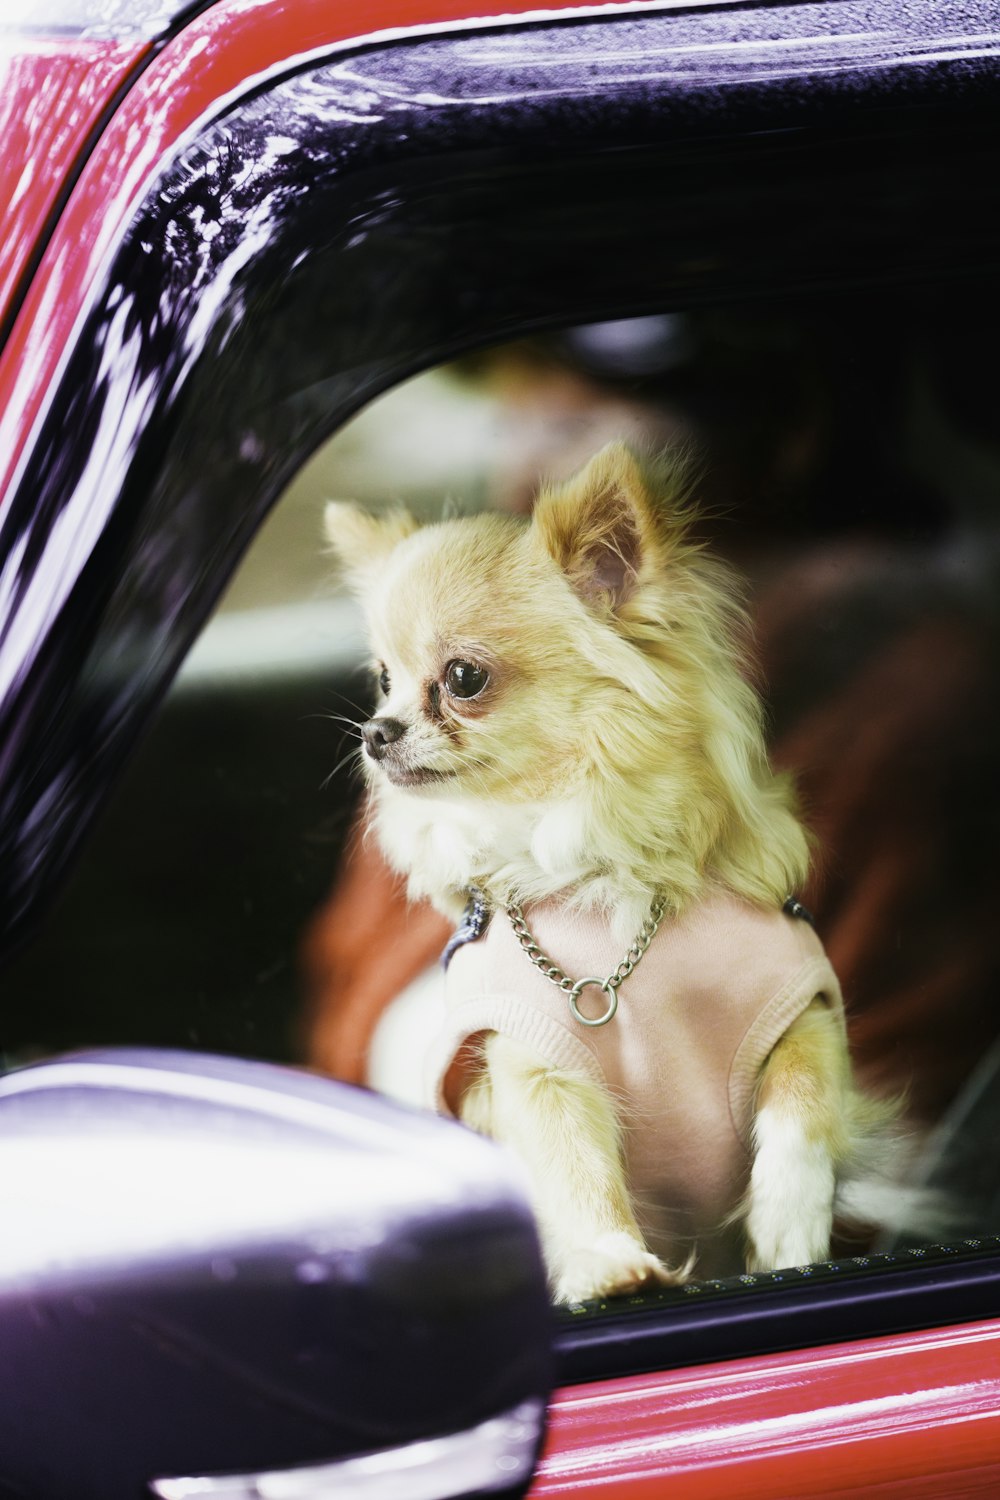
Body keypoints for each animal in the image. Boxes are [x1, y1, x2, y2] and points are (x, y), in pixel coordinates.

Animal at [328, 441, 893, 1302]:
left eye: (463, 679)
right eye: (384, 680)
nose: (375, 733)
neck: (593, 865)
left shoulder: (803, 1009)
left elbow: (803, 1108)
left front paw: (789, 1226)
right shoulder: (534, 1063)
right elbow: (575, 1165)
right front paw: (609, 1262)